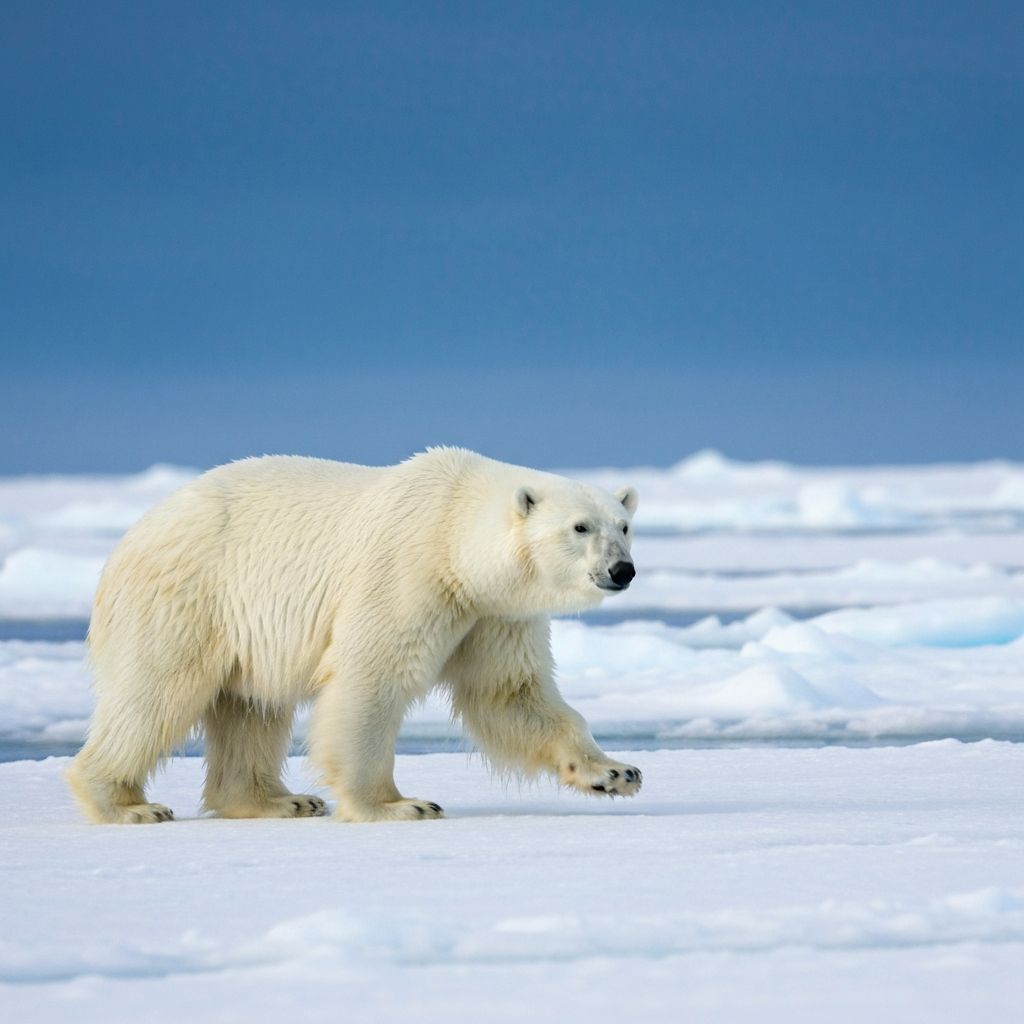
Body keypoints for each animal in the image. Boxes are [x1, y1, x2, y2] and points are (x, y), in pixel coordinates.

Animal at [66, 448, 641, 824]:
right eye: (580, 527)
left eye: (624, 525)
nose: (623, 570)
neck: (454, 535)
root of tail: (132, 534)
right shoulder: (408, 573)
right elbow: (373, 676)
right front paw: (399, 804)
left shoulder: (493, 613)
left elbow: (510, 693)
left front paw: (615, 772)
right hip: (189, 597)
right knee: (156, 693)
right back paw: (128, 805)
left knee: (251, 707)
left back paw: (283, 801)